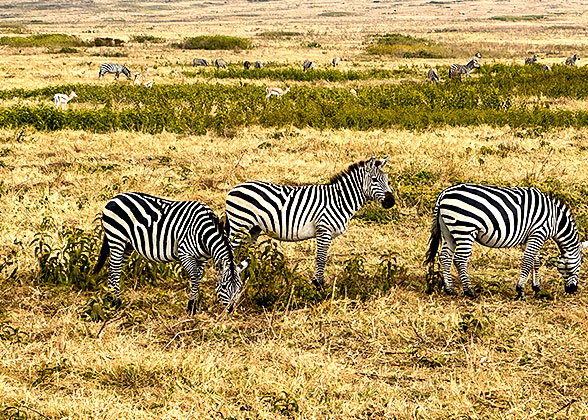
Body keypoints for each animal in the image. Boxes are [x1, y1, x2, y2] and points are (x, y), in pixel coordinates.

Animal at [93, 192, 248, 314]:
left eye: (239, 287)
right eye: (224, 286)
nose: (230, 310)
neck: (204, 234)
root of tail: (114, 198)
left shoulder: (202, 258)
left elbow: (199, 277)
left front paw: (194, 306)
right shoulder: (185, 253)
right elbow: (195, 277)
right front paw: (191, 307)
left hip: (127, 245)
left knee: (114, 269)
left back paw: (111, 299)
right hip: (117, 239)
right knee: (114, 269)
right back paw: (116, 302)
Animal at [225, 158, 396, 288]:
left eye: (387, 180)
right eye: (374, 180)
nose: (391, 202)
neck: (339, 200)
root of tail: (234, 189)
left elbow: (322, 258)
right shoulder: (324, 230)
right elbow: (321, 258)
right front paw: (318, 285)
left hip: (252, 229)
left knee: (244, 252)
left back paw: (248, 278)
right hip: (239, 225)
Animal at [424, 183, 584, 298]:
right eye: (580, 265)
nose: (573, 290)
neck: (555, 220)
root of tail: (444, 194)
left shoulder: (530, 236)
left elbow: (535, 261)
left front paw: (536, 287)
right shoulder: (539, 232)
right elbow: (528, 261)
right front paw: (520, 291)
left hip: (448, 230)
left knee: (445, 257)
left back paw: (449, 289)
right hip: (465, 228)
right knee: (460, 259)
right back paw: (470, 291)